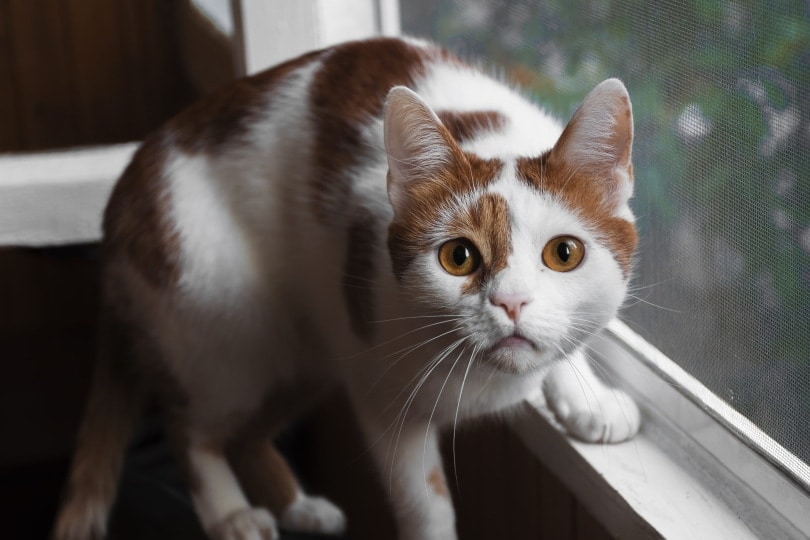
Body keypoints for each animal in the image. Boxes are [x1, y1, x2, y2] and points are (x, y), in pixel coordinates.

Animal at [53, 38, 640, 540]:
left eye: (563, 254)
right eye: (459, 257)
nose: (511, 302)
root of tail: (120, 195)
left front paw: (587, 398)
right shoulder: (382, 395)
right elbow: (424, 501)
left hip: (304, 350)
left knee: (246, 434)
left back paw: (298, 506)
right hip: (223, 332)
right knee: (189, 428)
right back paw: (231, 514)